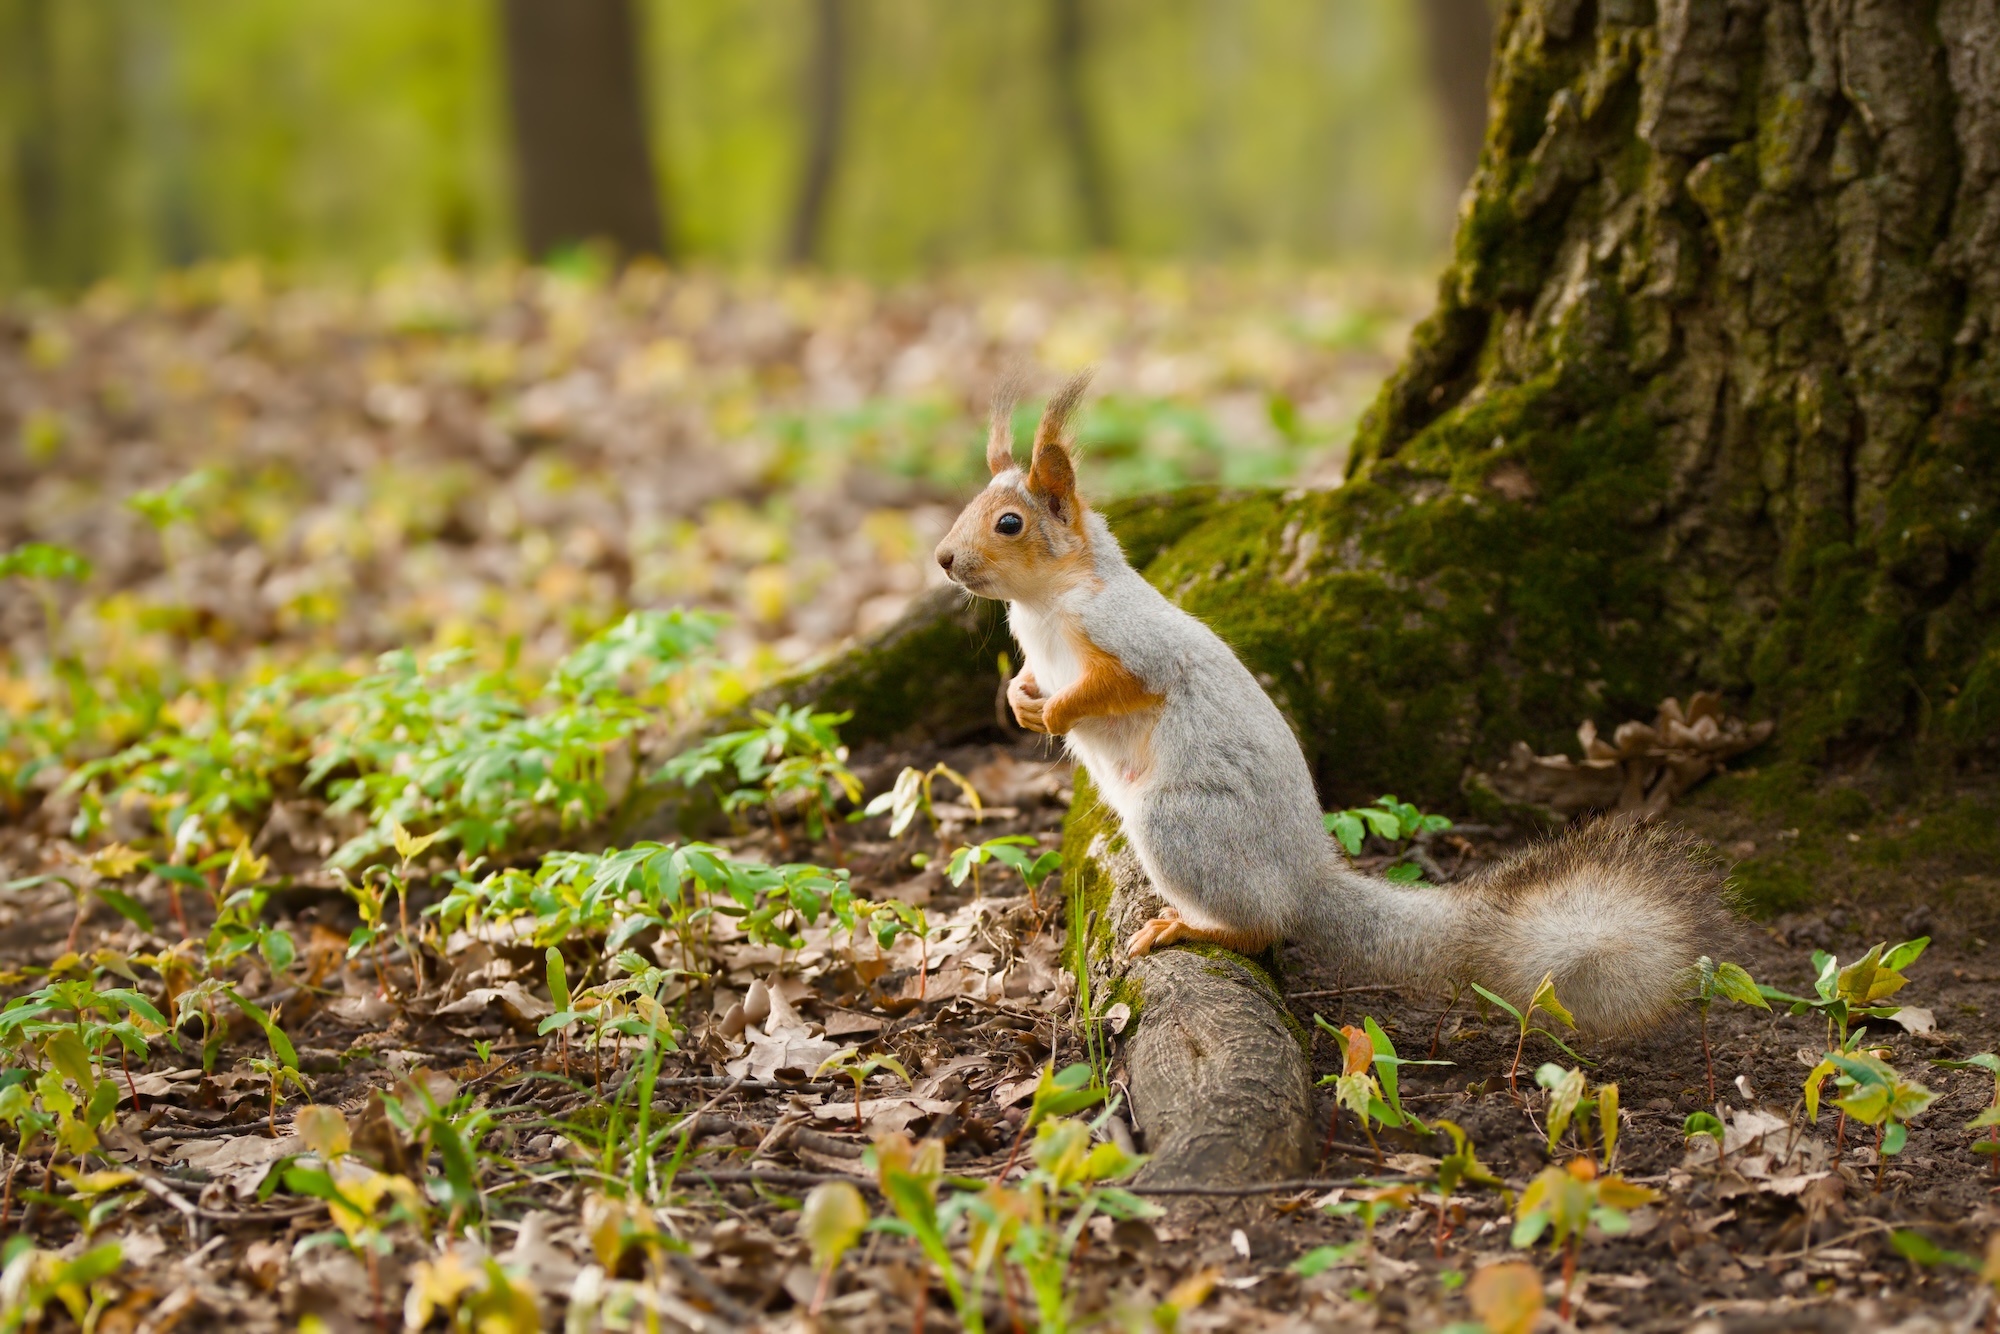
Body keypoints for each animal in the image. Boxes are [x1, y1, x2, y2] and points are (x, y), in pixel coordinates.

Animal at [933, 371, 1733, 1037]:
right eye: (971, 506)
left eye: (1010, 523)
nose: (943, 560)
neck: (1045, 605)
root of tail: (1306, 881)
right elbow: (1031, 681)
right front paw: (1022, 701)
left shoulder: (1130, 638)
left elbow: (1125, 684)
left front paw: (1057, 715)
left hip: (1184, 827)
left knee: (1262, 927)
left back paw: (1197, 927)